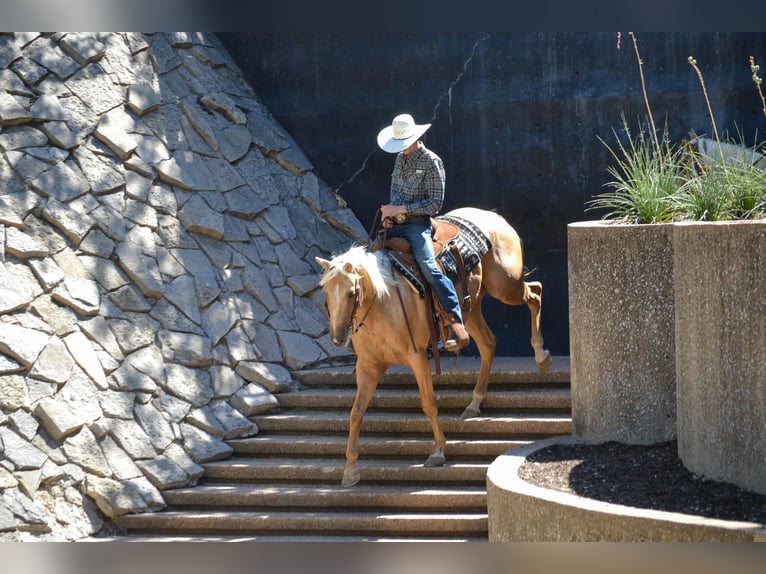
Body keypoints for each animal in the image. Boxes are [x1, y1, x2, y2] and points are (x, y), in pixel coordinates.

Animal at [314, 205, 552, 488]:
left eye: (351, 292)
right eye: (325, 292)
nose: (338, 338)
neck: (383, 303)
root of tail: (494, 216)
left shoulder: (417, 358)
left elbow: (428, 403)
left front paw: (438, 451)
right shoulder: (368, 367)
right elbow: (356, 412)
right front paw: (350, 470)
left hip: (506, 285)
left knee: (535, 293)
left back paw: (541, 356)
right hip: (470, 308)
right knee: (488, 343)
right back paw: (475, 402)